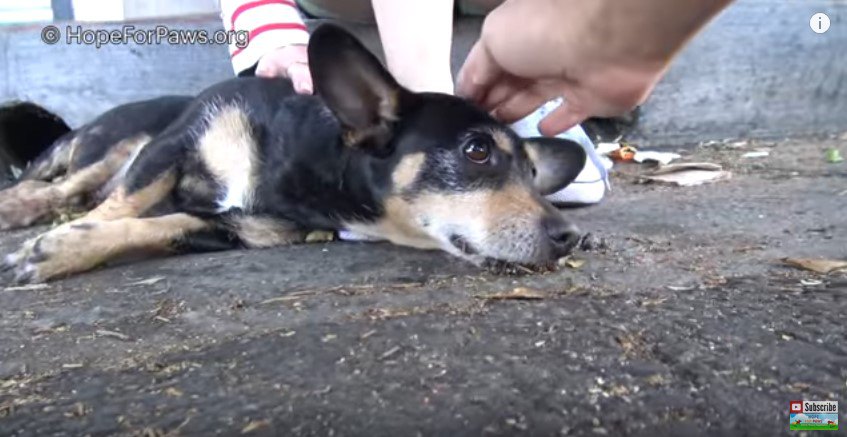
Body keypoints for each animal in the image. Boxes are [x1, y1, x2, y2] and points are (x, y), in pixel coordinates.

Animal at [0, 23, 584, 282]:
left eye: (533, 171)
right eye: (477, 150)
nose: (571, 237)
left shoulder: (245, 230)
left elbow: (161, 225)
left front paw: (67, 248)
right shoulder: (173, 144)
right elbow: (123, 205)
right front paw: (54, 247)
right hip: (116, 140)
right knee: (61, 183)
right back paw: (20, 205)